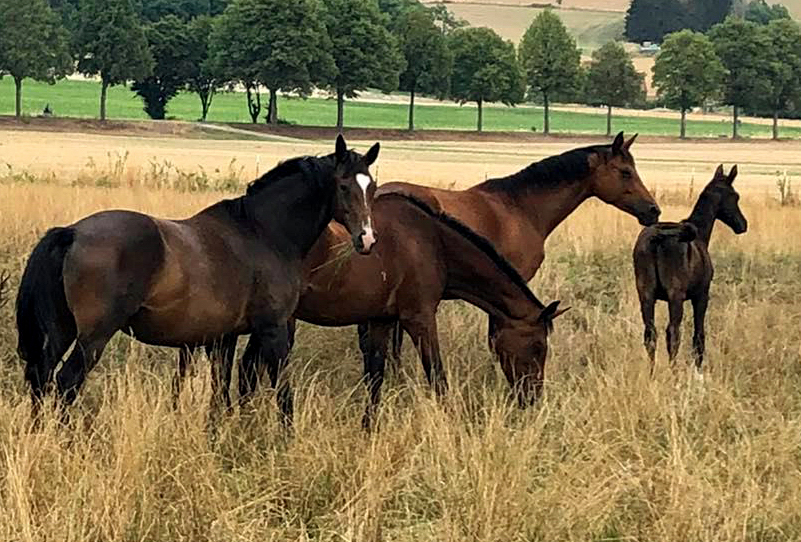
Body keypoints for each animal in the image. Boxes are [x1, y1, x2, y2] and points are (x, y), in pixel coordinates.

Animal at [14, 134, 378, 422]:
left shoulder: (222, 338)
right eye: (343, 186)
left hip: (60, 331)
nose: (367, 239)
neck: (262, 233)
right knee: (66, 384)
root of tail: (72, 232)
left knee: (42, 379)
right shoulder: (273, 330)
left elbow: (220, 396)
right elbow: (284, 393)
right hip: (93, 337)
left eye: (371, 187)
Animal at [230, 193, 568, 432]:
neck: (434, 243)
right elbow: (437, 377)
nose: (532, 399)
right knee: (250, 370)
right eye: (538, 347)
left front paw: (369, 428)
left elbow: (376, 377)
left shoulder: (382, 320)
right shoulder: (419, 319)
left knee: (247, 370)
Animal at [636, 167, 748, 378]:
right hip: (675, 296)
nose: (742, 225)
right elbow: (699, 336)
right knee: (673, 333)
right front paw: (698, 370)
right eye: (735, 196)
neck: (701, 236)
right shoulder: (701, 296)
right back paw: (673, 372)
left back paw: (651, 374)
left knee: (650, 334)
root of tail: (658, 237)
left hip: (645, 294)